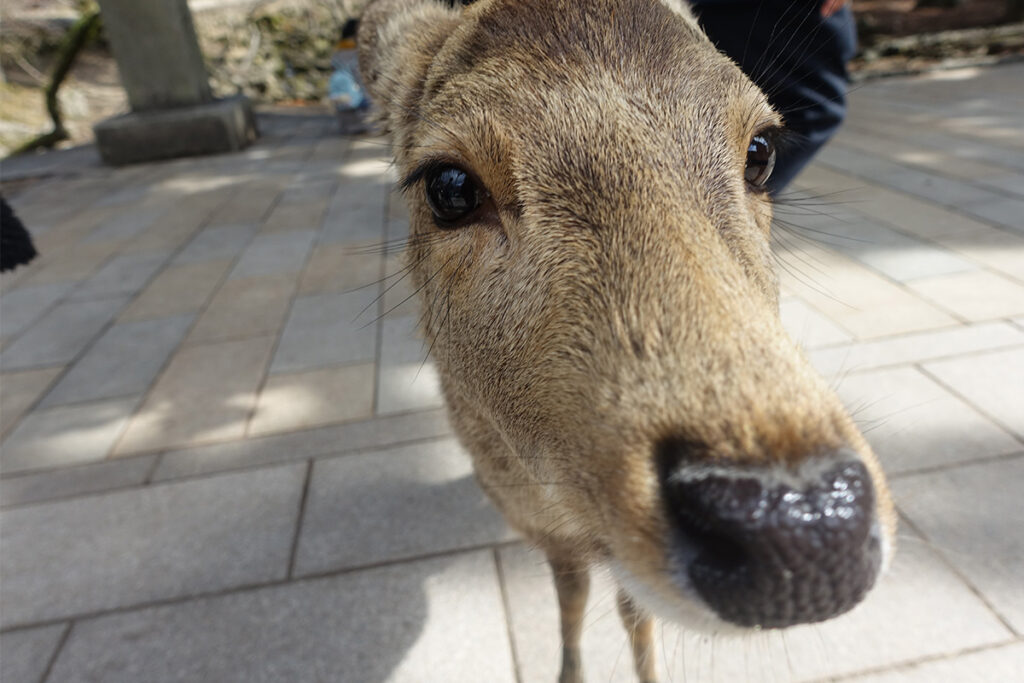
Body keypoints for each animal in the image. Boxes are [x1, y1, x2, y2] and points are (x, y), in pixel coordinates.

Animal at [356, 2, 892, 679]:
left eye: (761, 150)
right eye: (449, 186)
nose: (802, 522)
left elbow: (635, 612)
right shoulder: (542, 530)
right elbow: (572, 592)